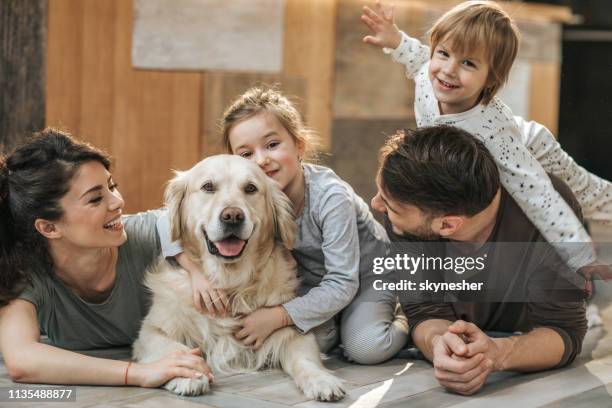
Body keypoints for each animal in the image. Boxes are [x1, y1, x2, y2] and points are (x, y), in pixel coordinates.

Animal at [132, 155, 346, 400]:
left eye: (250, 188)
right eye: (208, 187)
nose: (232, 216)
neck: (230, 282)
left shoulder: (293, 331)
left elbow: (306, 359)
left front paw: (322, 380)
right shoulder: (150, 331)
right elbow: (175, 348)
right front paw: (188, 374)